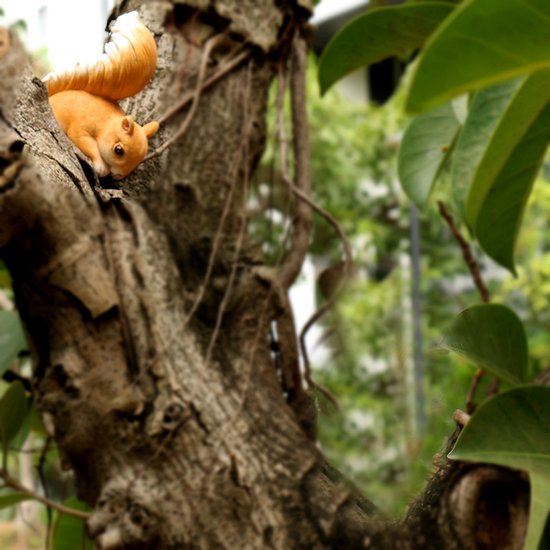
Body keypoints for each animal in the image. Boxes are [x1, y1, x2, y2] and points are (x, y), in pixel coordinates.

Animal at [44, 10, 160, 180]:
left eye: (139, 161)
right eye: (118, 151)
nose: (117, 176)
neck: (107, 123)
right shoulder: (82, 126)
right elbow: (83, 140)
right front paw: (101, 167)